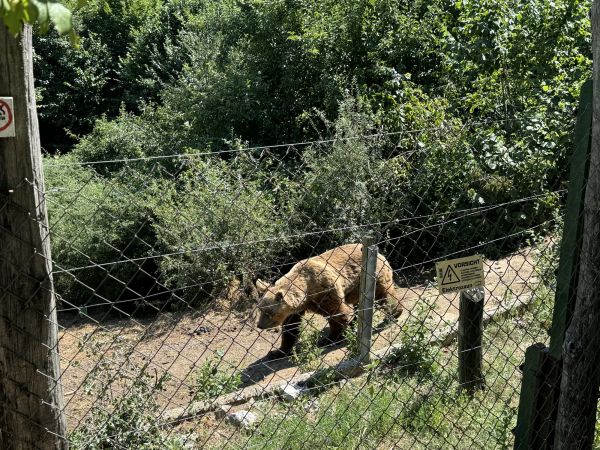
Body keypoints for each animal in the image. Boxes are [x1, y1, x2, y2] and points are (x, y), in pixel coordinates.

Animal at [254, 243, 404, 358]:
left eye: (268, 312)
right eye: (260, 309)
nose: (259, 325)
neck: (307, 291)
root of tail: (380, 253)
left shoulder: (325, 290)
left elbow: (338, 313)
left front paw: (329, 339)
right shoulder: (297, 309)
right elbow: (290, 328)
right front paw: (278, 351)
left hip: (371, 276)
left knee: (384, 295)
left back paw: (395, 313)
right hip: (357, 287)